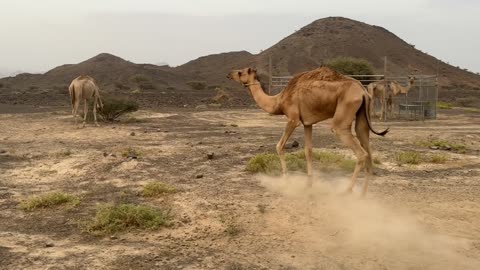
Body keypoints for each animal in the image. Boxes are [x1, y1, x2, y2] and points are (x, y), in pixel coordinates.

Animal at [227, 66, 388, 195]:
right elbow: (308, 150)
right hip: (362, 117)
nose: (229, 74)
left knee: (360, 152)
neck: (279, 101)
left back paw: (347, 191)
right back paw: (363, 195)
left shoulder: (293, 119)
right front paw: (309, 184)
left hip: (343, 116)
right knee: (366, 145)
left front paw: (286, 180)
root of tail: (363, 91)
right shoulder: (307, 123)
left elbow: (279, 146)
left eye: (240, 72)